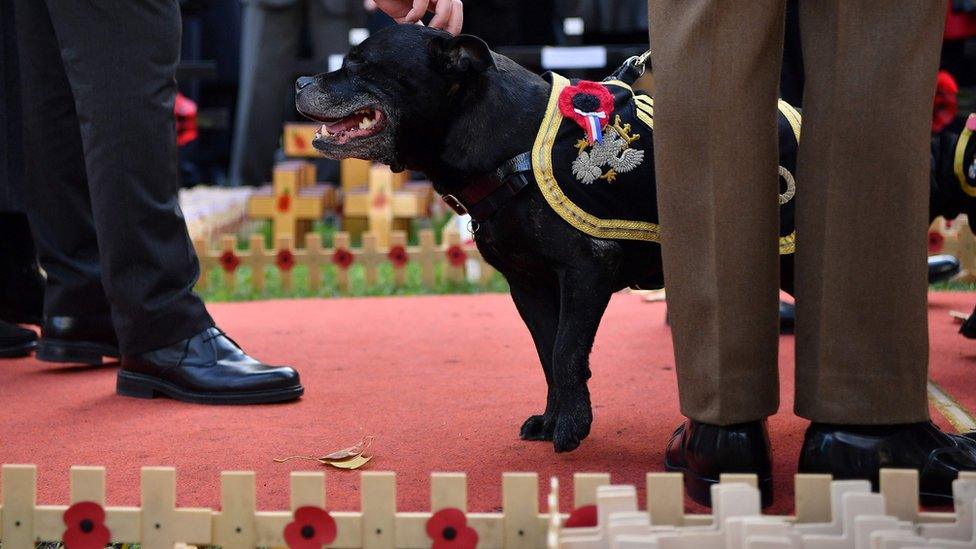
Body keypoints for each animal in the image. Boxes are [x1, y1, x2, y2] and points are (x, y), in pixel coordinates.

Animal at [298, 23, 968, 452]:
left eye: (359, 66)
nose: (302, 80)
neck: (503, 139)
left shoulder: (585, 271)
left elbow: (568, 352)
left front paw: (572, 429)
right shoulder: (529, 287)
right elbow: (548, 354)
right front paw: (555, 418)